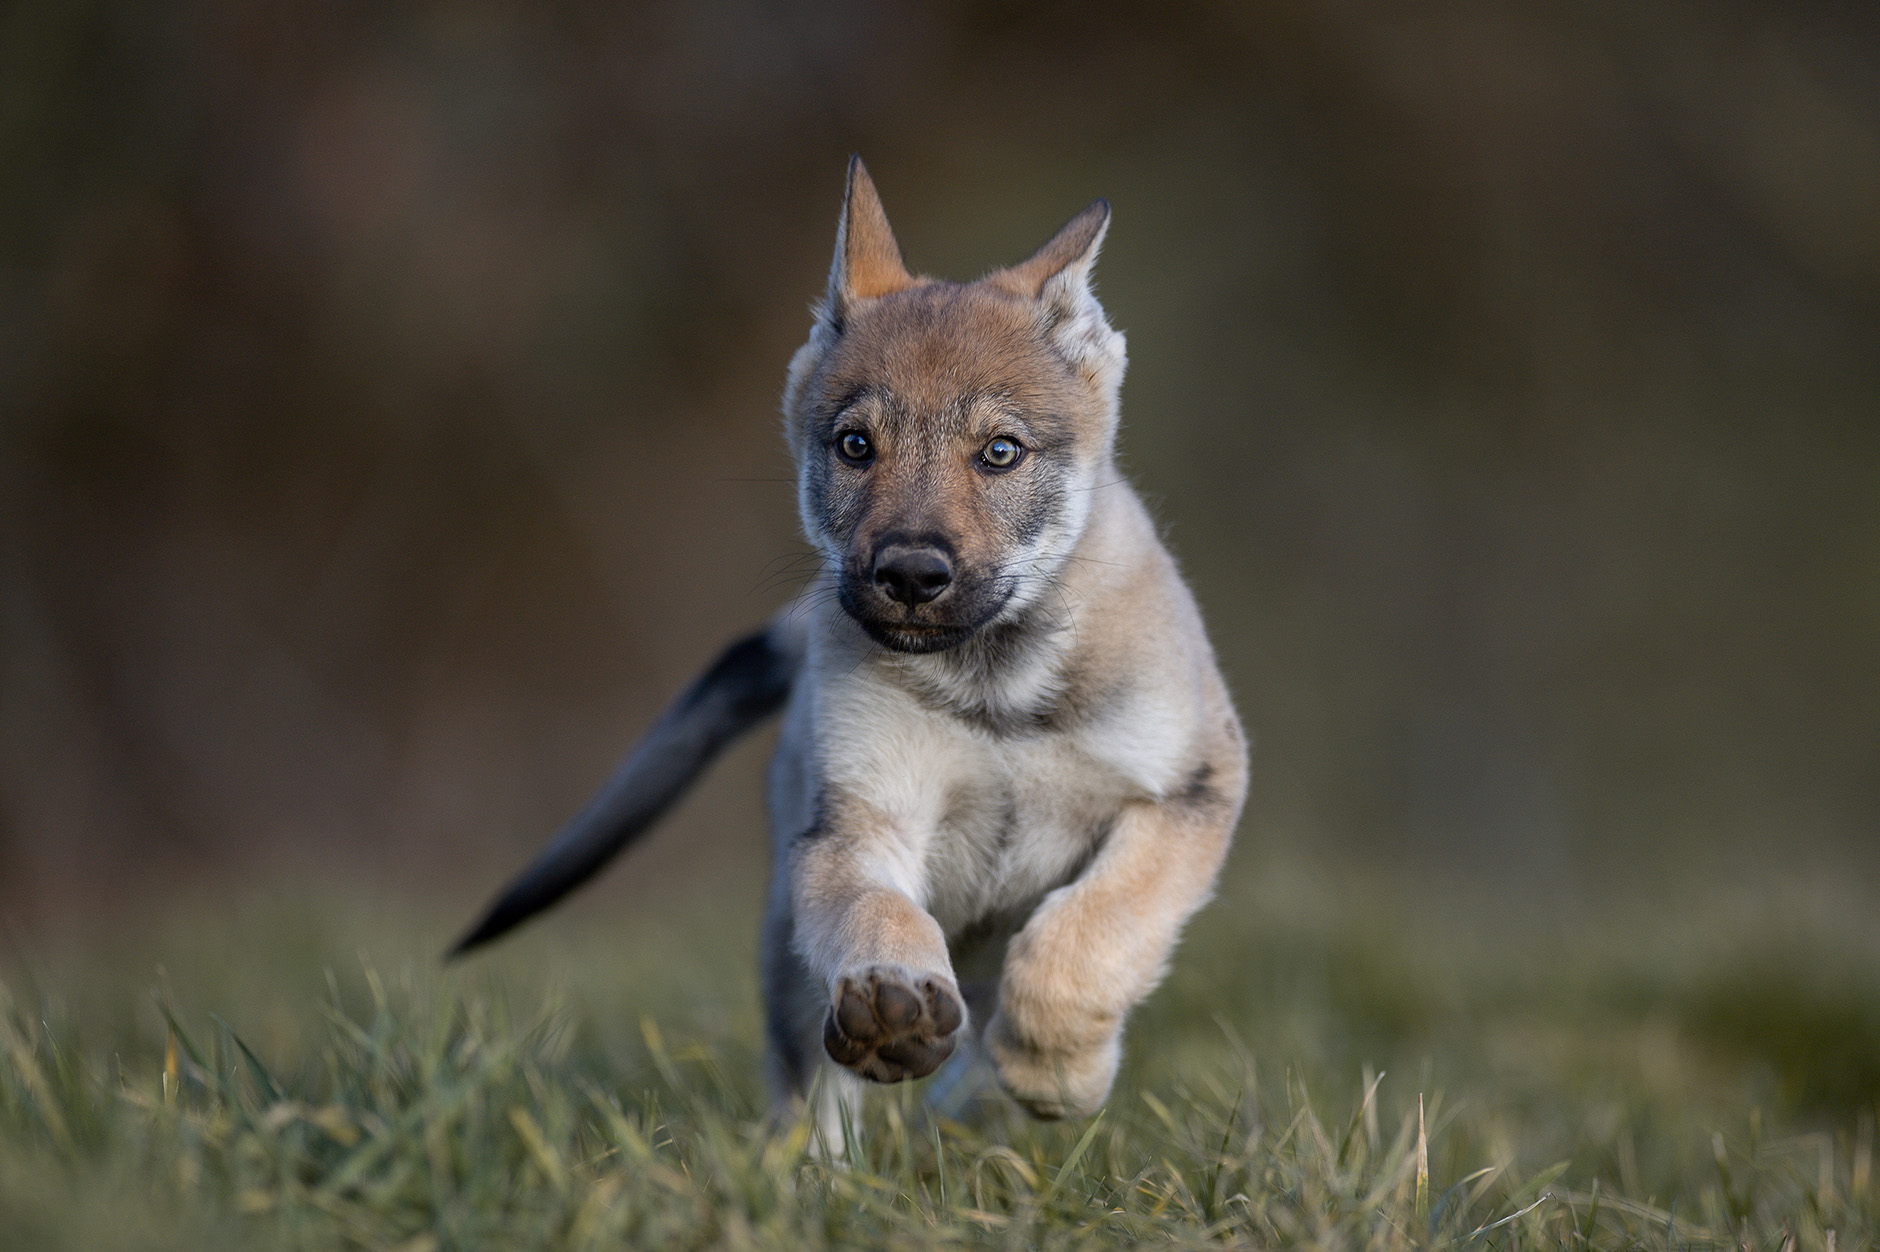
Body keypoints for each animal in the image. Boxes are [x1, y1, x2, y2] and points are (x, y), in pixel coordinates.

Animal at [451, 158, 1248, 1120]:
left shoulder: (1187, 795)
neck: (994, 693)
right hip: (789, 970)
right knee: (812, 1096)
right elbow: (883, 915)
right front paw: (895, 1000)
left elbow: (1094, 926)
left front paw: (1055, 1066)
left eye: (1001, 452)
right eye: (856, 445)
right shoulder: (861, 825)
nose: (908, 574)